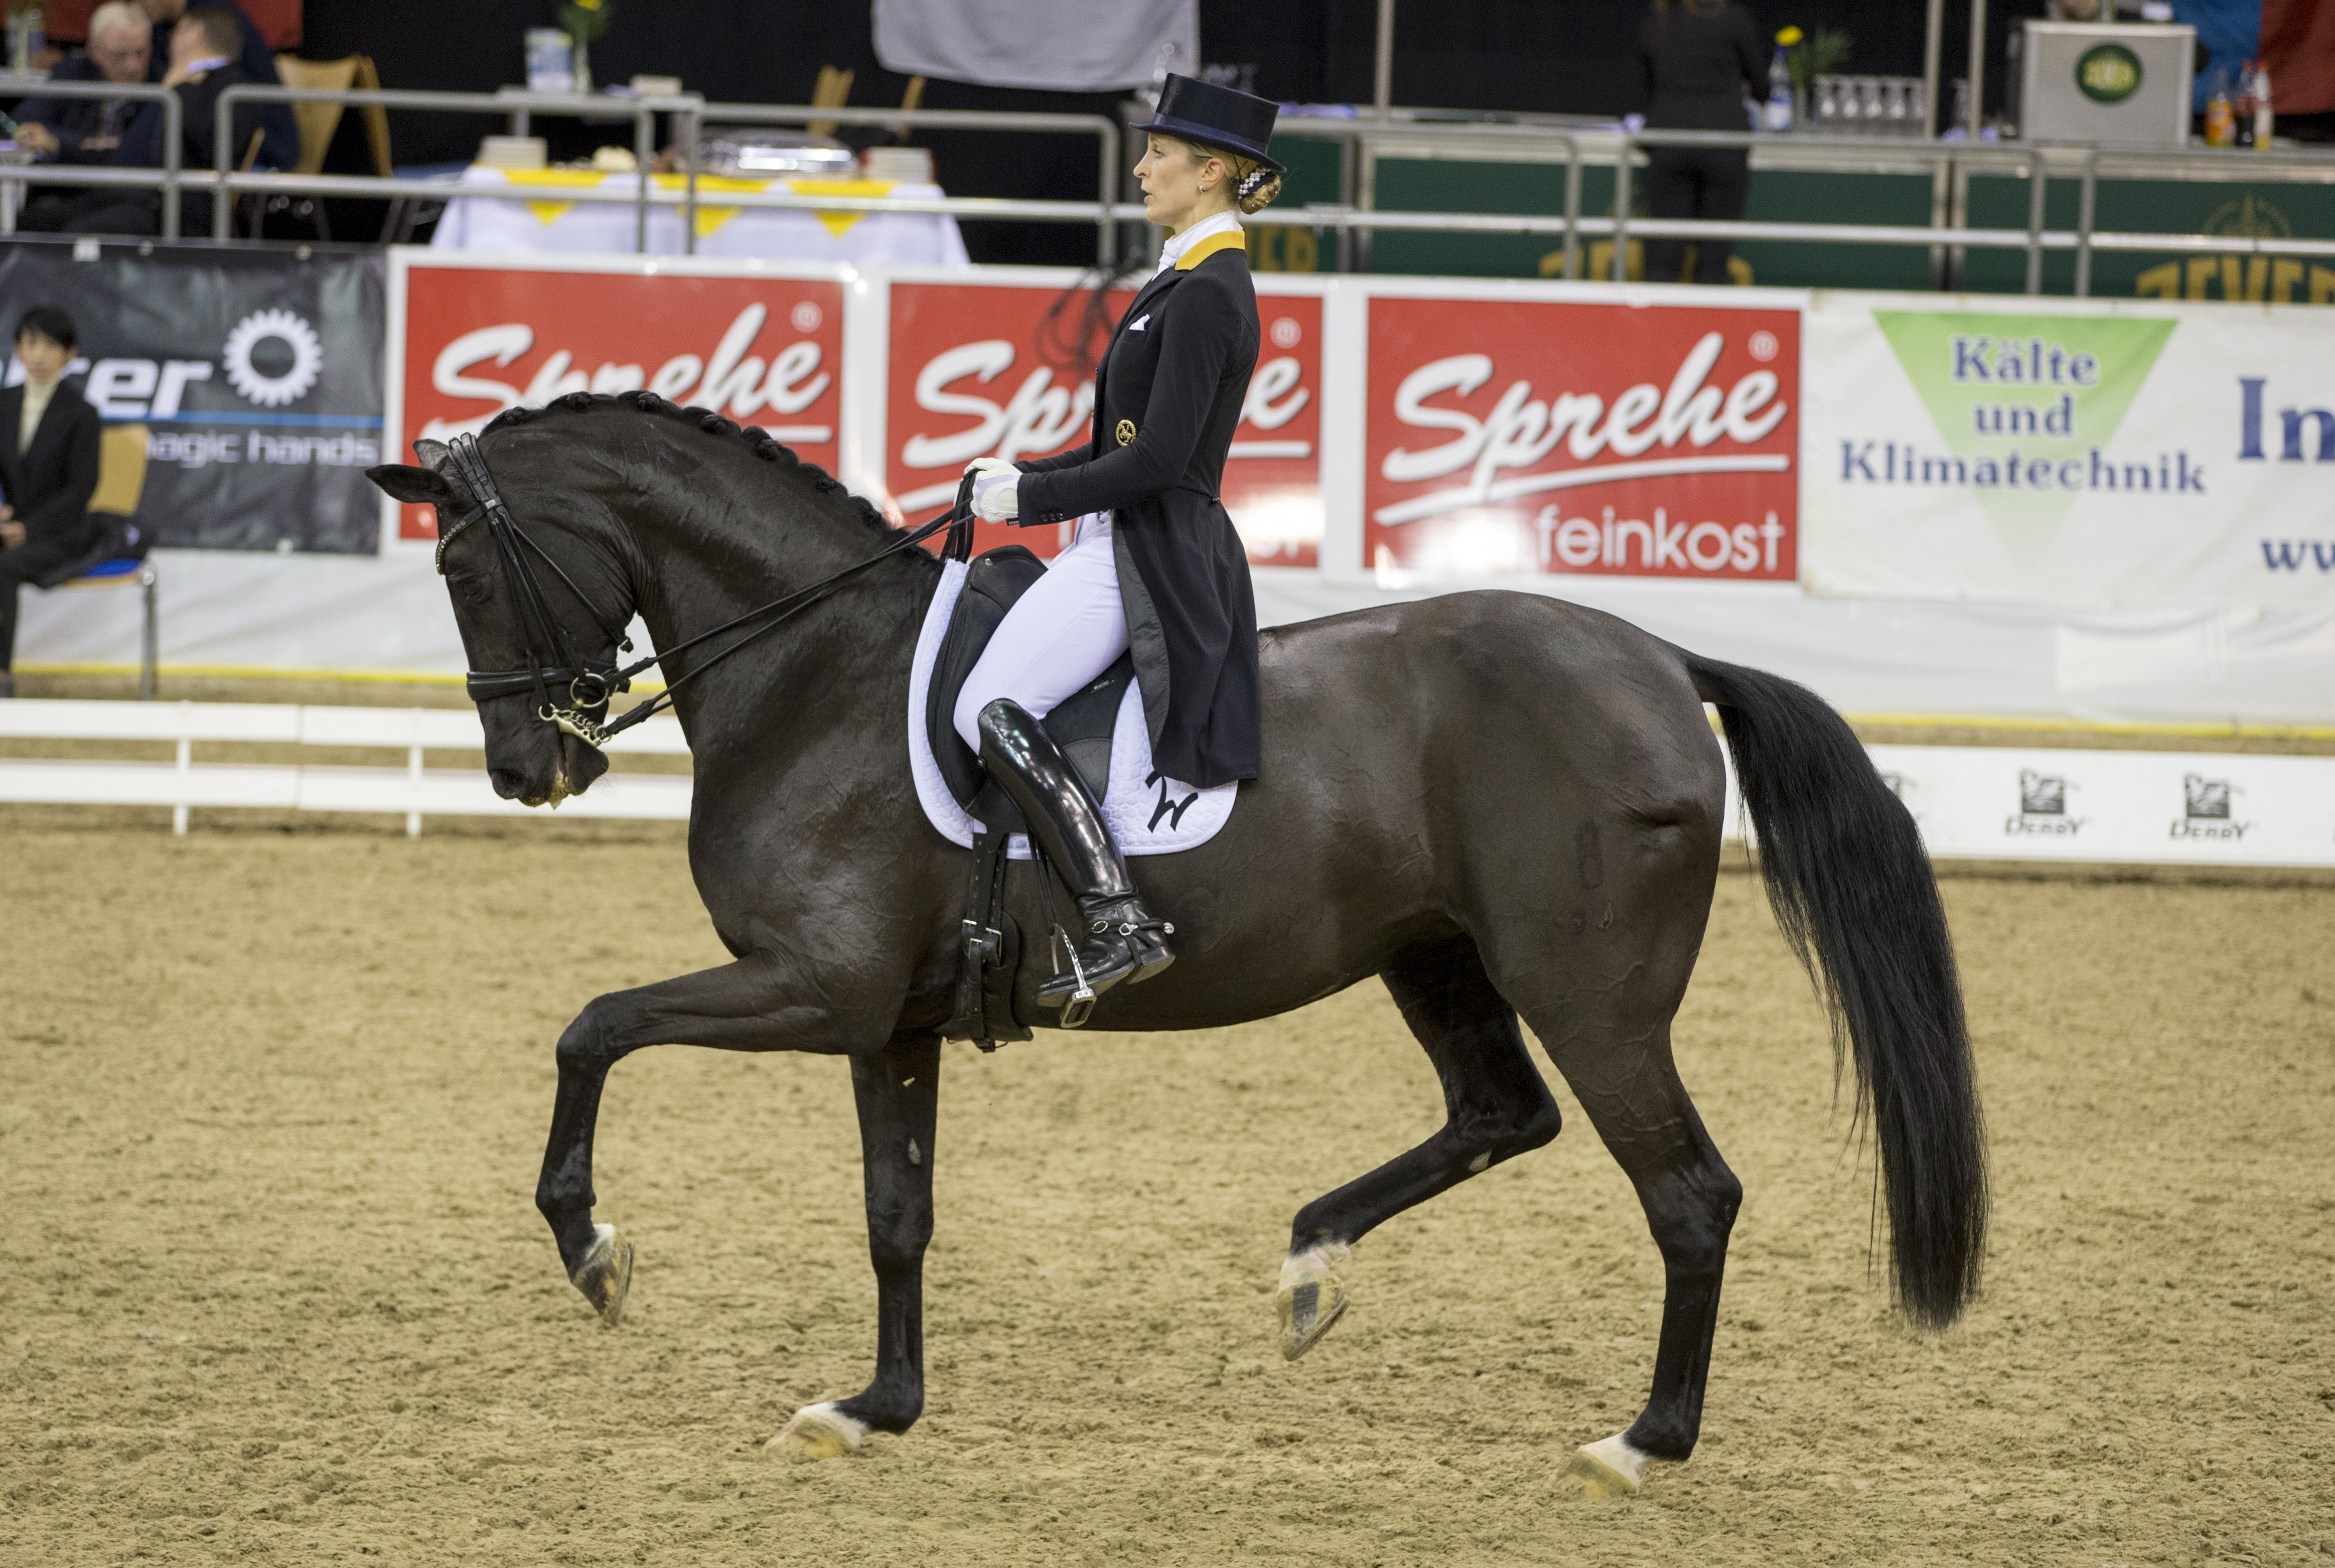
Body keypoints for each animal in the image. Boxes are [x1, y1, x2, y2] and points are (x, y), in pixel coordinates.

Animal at [369, 392, 1989, 1495]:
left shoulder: (813, 989)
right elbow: (896, 1216)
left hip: (1590, 996)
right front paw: (876, 1408)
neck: (816, 674)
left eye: (463, 571)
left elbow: (592, 1025)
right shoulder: (886, 1021)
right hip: (1433, 955)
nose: (521, 769)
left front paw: (593, 1249)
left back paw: (1643, 1441)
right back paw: (1312, 1263)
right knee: (1500, 1112)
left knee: (1687, 1193)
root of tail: (1661, 657)